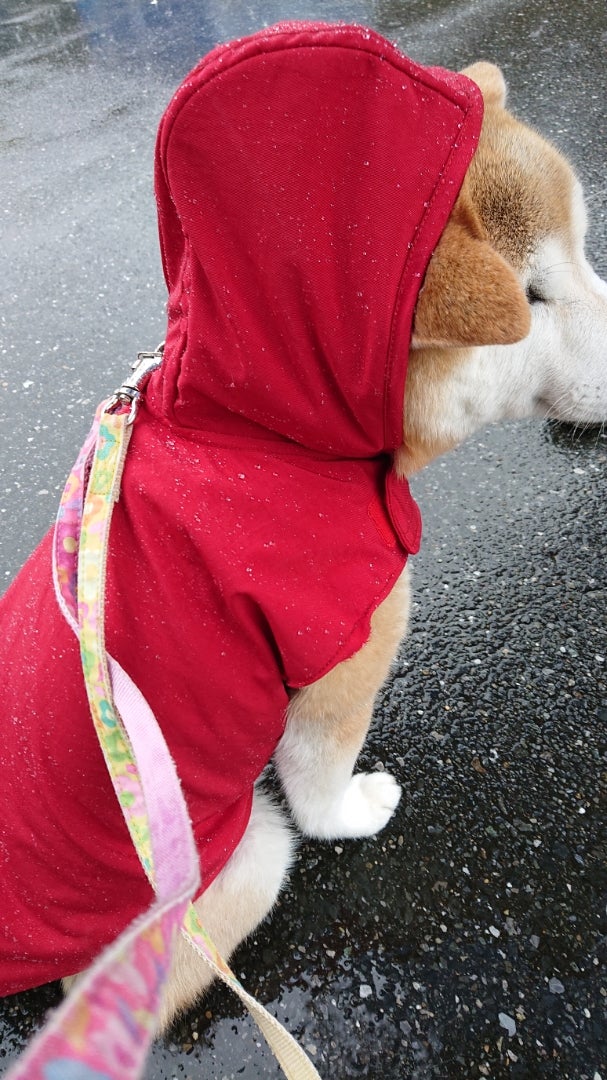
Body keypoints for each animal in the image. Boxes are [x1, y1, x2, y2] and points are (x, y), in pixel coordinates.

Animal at [1, 22, 606, 1039]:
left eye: (587, 256)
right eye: (532, 297)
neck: (271, 433)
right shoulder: (342, 645)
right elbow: (321, 780)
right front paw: (355, 808)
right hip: (240, 860)